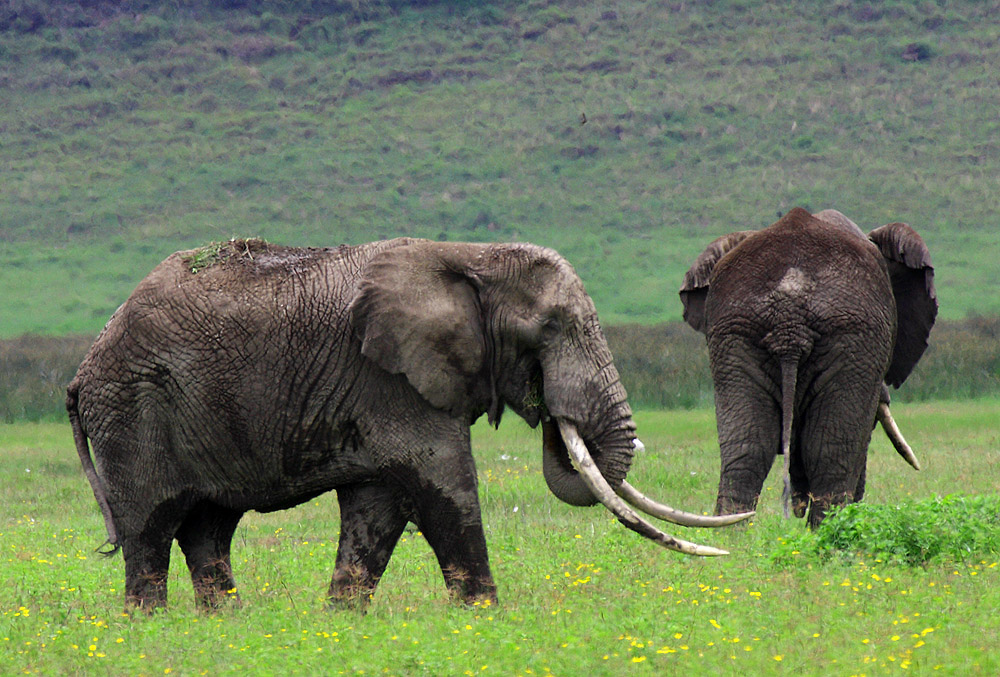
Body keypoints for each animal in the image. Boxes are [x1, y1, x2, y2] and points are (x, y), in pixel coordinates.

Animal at [70, 236, 748, 608]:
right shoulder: (391, 382)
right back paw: (149, 630)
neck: (471, 257)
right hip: (133, 408)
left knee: (208, 530)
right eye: (551, 329)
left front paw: (341, 627)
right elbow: (442, 487)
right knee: (149, 531)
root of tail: (81, 370)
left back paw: (228, 632)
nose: (553, 413)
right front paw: (485, 621)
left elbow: (378, 510)